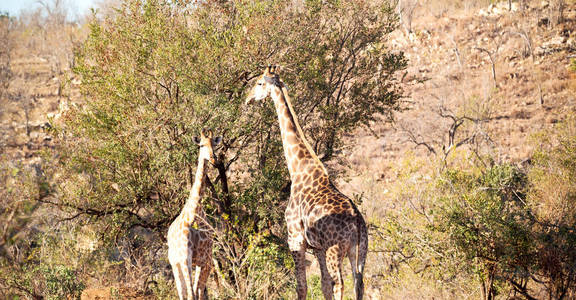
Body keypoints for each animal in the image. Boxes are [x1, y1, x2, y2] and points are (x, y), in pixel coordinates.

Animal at [168, 129, 222, 300]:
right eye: (201, 145)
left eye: (214, 145)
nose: (213, 158)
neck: (194, 213)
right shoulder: (191, 259)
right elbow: (194, 293)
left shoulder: (204, 260)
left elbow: (199, 293)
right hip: (177, 263)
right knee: (184, 292)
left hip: (184, 263)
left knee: (188, 292)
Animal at [245, 66, 366, 300]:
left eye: (259, 83)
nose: (247, 99)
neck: (298, 168)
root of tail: (357, 221)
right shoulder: (317, 247)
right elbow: (324, 285)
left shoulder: (295, 238)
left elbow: (302, 286)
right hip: (360, 249)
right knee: (358, 283)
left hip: (336, 249)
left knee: (340, 284)